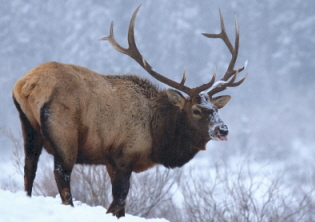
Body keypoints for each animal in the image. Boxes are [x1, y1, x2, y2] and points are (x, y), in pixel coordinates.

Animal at [12, 5, 248, 219]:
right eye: (196, 110)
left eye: (215, 108)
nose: (223, 129)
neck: (156, 137)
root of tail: (27, 85)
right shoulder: (125, 154)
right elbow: (119, 200)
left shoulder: (110, 162)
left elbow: (119, 203)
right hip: (64, 131)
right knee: (62, 174)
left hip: (28, 126)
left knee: (29, 167)